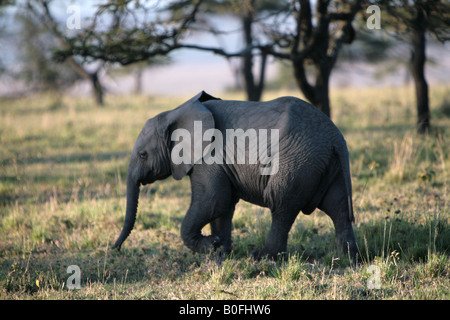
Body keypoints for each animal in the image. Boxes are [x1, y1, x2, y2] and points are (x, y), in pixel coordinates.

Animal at [113, 91, 358, 262]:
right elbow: (223, 206)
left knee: (281, 205)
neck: (175, 111)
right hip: (324, 164)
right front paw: (220, 252)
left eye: (143, 155)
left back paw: (262, 258)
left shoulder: (209, 156)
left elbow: (213, 200)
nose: (115, 249)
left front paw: (212, 246)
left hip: (296, 162)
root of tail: (335, 139)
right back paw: (347, 260)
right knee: (338, 208)